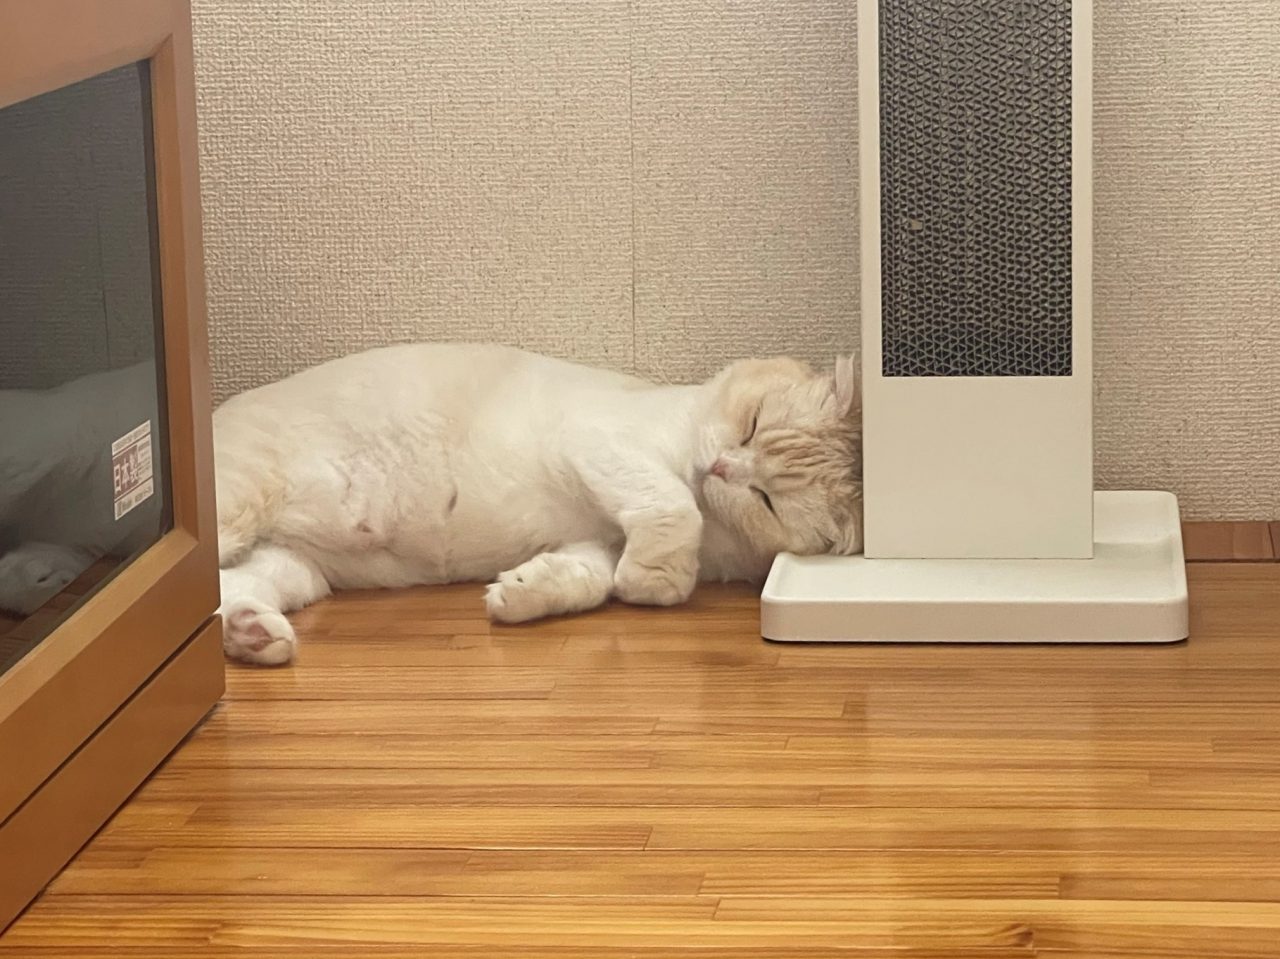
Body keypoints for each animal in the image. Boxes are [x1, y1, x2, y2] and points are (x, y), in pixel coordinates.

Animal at [214, 344, 863, 666]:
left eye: (767, 500)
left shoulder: (596, 541)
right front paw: (657, 577)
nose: (722, 468)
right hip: (239, 510)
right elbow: (677, 508)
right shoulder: (597, 442)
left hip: (294, 570)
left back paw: (252, 637)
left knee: (231, 596)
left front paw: (524, 591)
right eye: (750, 425)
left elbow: (591, 580)